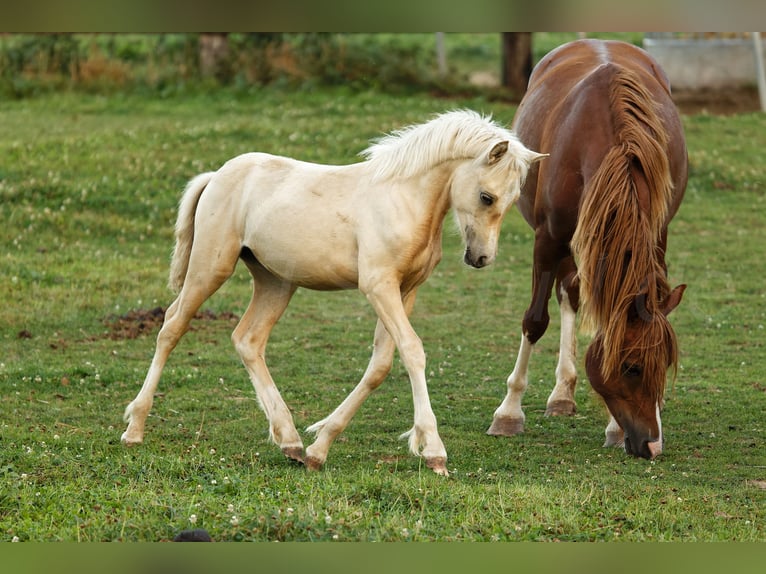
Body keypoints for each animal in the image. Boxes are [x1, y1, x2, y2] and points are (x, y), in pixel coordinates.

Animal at [492, 40, 688, 462]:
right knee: (568, 294)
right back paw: (559, 395)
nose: (652, 446)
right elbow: (535, 321)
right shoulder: (548, 240)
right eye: (631, 367)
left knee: (573, 292)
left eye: (664, 364)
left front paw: (615, 427)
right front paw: (508, 413)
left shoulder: (654, 240)